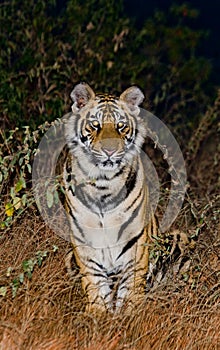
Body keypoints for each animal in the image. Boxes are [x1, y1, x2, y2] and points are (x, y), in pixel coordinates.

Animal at [62, 83, 157, 314]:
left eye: (121, 126)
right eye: (95, 125)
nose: (110, 151)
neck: (103, 184)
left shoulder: (135, 243)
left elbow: (131, 289)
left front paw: (130, 316)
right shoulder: (84, 242)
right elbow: (95, 286)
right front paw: (98, 316)